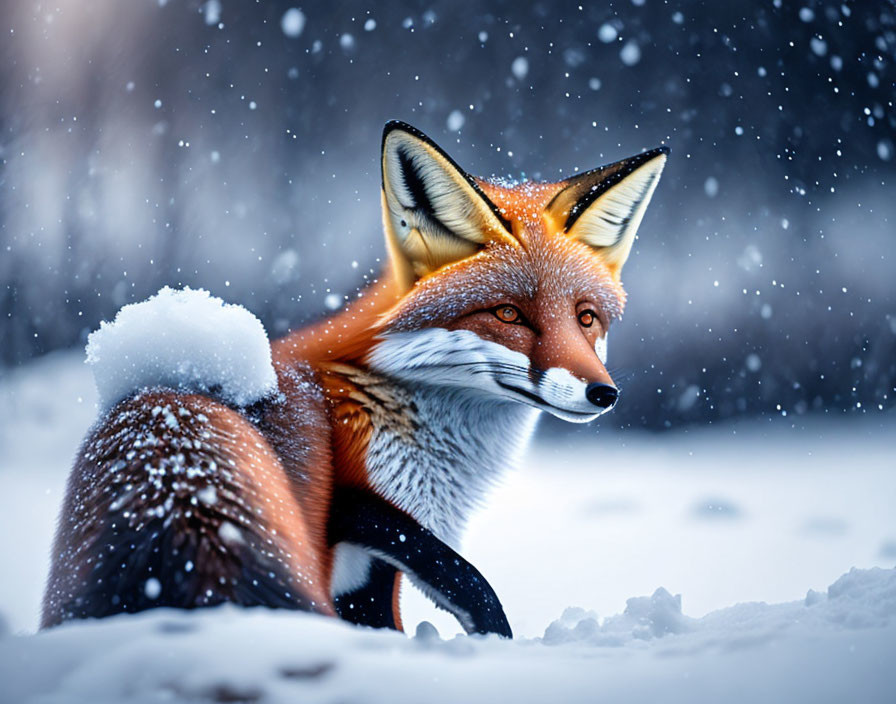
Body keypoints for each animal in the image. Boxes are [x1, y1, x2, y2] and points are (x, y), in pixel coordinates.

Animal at [42, 121, 664, 640]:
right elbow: (462, 577)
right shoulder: (363, 516)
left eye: (586, 318)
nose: (602, 394)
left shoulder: (364, 564)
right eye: (509, 314)